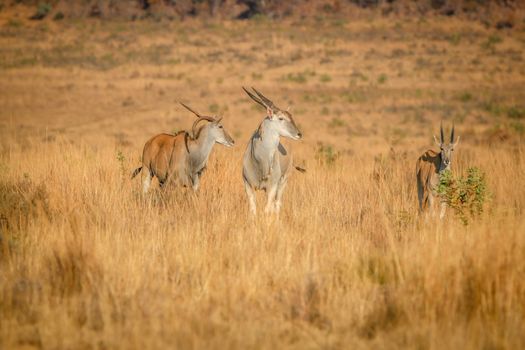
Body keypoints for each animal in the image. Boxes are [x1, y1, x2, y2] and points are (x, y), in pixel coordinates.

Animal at [242, 86, 302, 215]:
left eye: (291, 117)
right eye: (281, 118)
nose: (299, 134)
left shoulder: (272, 187)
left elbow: (267, 209)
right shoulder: (248, 185)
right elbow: (253, 209)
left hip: (283, 181)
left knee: (277, 203)